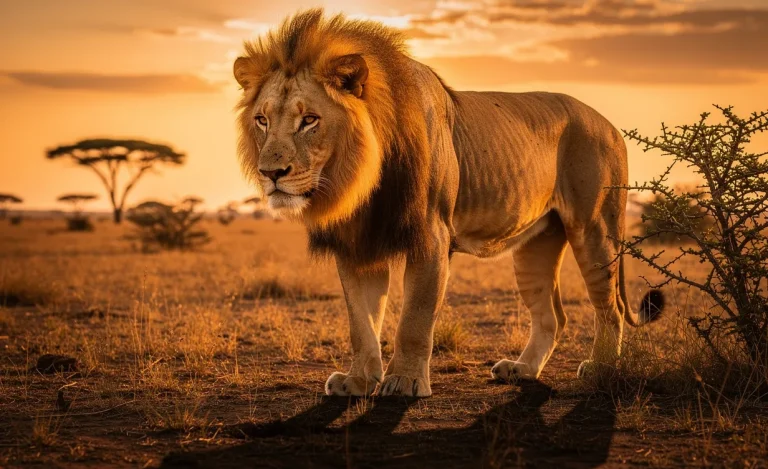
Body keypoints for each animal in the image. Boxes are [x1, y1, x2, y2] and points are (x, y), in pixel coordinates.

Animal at [233, 9, 664, 397]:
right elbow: (361, 323)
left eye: (309, 120)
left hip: (595, 228)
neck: (358, 181)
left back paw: (601, 368)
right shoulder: (358, 245)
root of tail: (609, 124)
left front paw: (404, 382)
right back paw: (522, 369)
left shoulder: (431, 235)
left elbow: (414, 319)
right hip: (537, 243)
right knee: (552, 316)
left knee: (608, 307)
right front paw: (358, 381)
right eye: (262, 120)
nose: (271, 173)